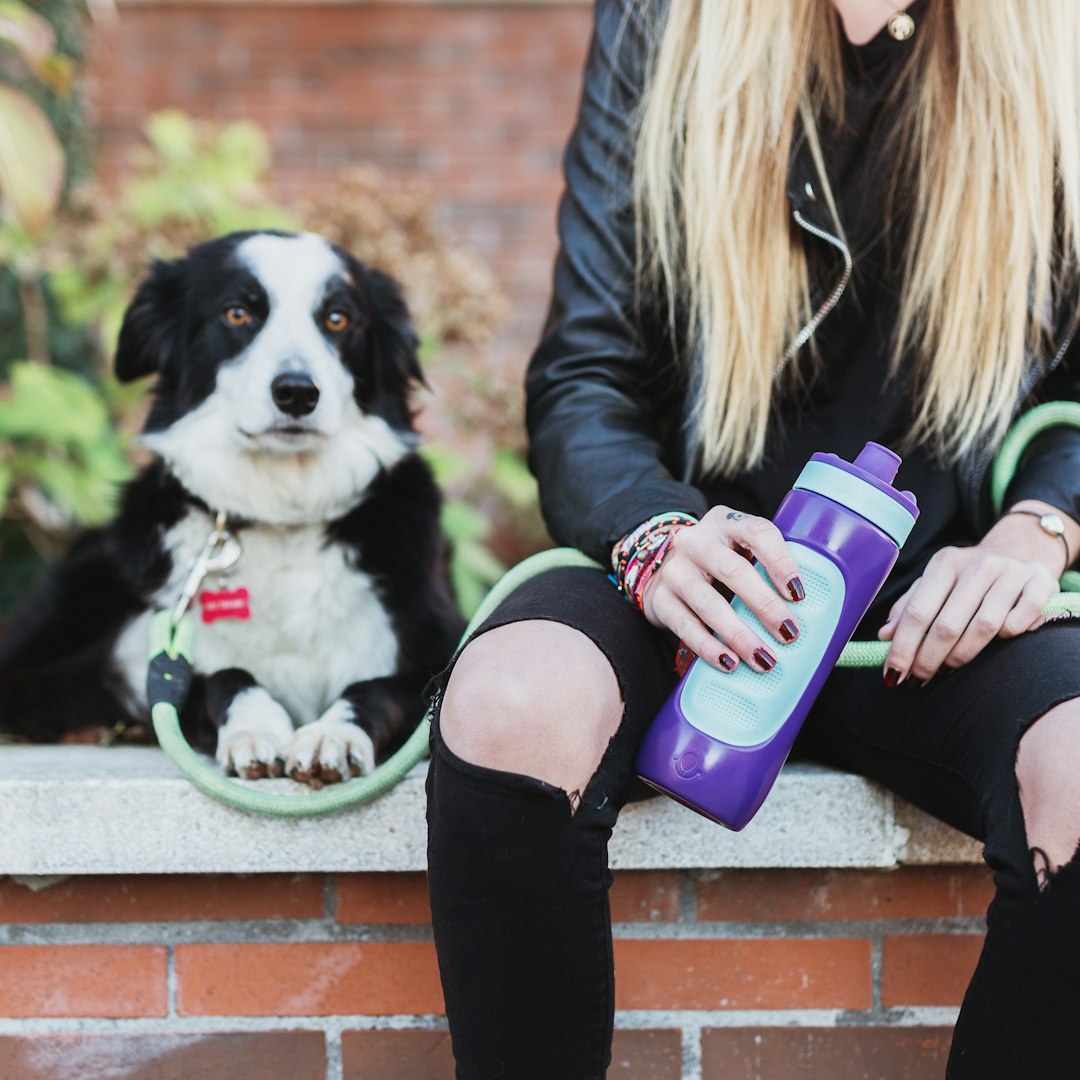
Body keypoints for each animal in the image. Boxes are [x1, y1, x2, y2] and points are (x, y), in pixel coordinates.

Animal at [0, 230, 464, 786]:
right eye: (237, 314)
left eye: (338, 319)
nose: (297, 393)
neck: (283, 514)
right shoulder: (163, 664)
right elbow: (224, 675)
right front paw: (254, 728)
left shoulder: (445, 648)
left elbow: (377, 687)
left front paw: (332, 733)